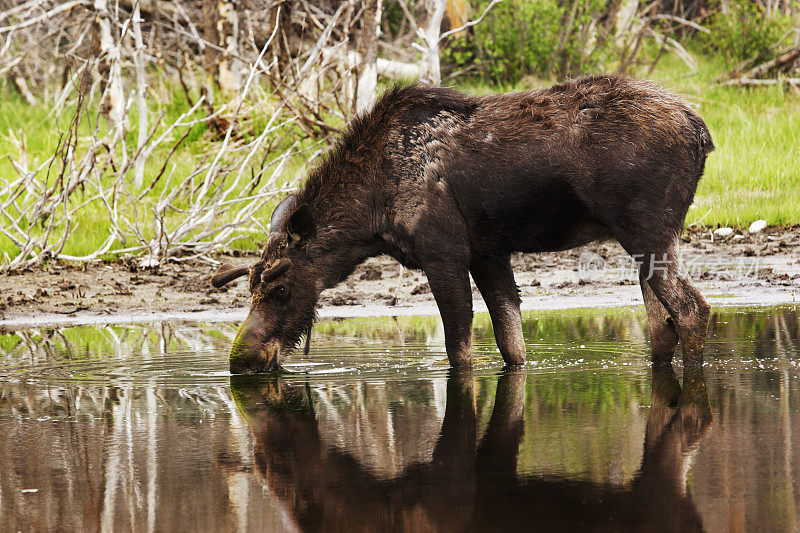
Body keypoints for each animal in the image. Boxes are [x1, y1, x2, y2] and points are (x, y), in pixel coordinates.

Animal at [212, 74, 712, 374]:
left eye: (280, 288)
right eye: (250, 285)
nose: (242, 358)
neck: (370, 219)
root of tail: (703, 134)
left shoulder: (444, 252)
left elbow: (461, 349)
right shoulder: (489, 253)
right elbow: (512, 345)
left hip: (647, 230)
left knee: (692, 309)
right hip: (648, 242)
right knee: (661, 325)